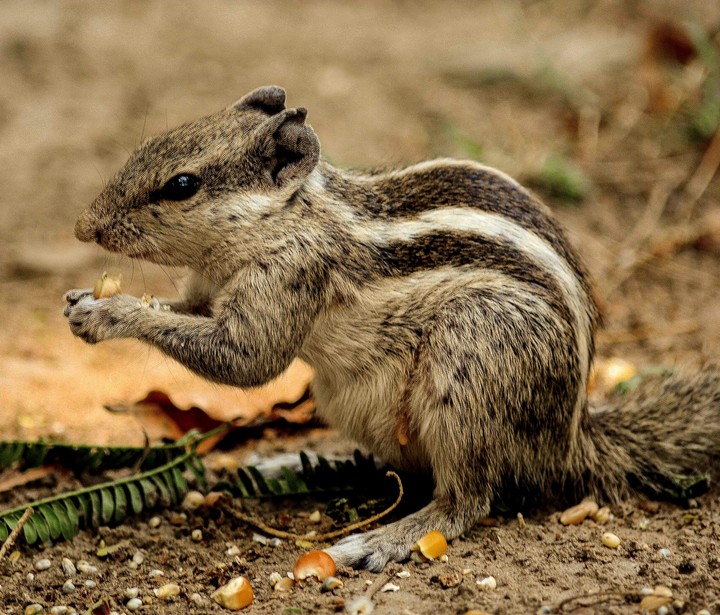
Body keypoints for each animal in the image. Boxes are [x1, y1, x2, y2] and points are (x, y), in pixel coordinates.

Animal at [64, 86, 720, 571]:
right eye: (152, 144)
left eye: (182, 184)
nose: (83, 227)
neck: (287, 217)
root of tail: (570, 436)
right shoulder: (208, 290)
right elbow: (190, 316)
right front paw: (83, 300)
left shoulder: (292, 275)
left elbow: (244, 358)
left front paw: (108, 313)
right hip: (356, 402)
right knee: (398, 470)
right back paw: (288, 465)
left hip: (473, 363)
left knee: (465, 500)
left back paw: (385, 539)